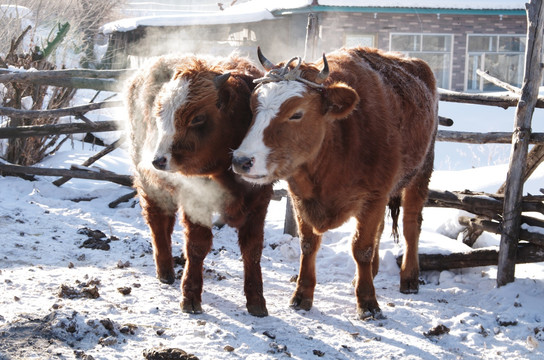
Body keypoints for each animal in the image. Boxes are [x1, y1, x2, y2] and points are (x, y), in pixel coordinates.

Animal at [126, 53, 274, 316]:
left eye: (197, 118)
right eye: (160, 115)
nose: (157, 159)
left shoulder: (259, 203)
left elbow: (253, 249)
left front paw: (257, 300)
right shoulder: (196, 201)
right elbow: (197, 246)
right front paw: (191, 297)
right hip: (148, 185)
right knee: (157, 222)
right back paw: (165, 271)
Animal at [233, 46, 438, 320]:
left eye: (296, 114)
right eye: (253, 106)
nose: (241, 160)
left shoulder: (374, 195)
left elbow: (361, 248)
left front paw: (368, 303)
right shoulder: (300, 196)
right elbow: (308, 244)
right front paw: (302, 295)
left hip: (421, 172)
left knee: (411, 225)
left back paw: (409, 278)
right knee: (381, 229)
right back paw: (370, 273)